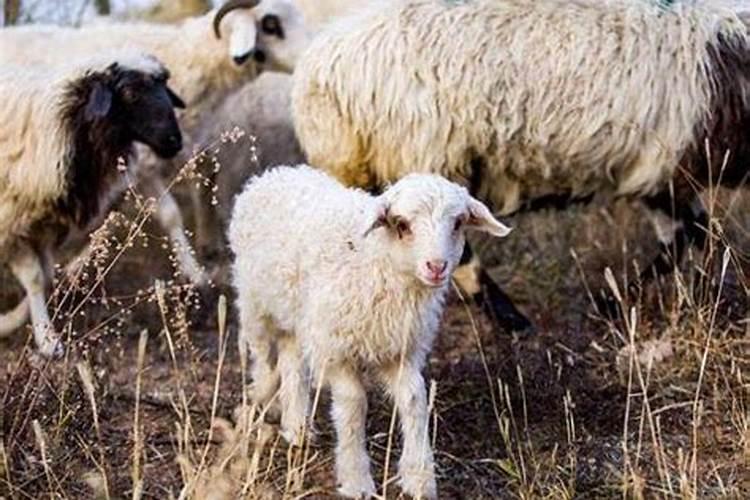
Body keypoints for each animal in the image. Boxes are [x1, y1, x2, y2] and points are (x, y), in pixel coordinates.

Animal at [0, 0, 312, 288]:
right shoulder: (141, 166)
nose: (310, 49)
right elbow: (171, 215)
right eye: (271, 25)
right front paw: (195, 273)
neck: (185, 57)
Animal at [228, 165, 512, 500]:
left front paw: (419, 477)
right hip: (255, 304)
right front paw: (356, 480)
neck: (377, 260)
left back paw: (297, 426)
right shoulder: (336, 349)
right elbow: (353, 404)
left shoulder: (401, 349)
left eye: (457, 223)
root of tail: (274, 173)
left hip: (298, 314)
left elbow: (415, 399)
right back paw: (262, 402)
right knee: (261, 355)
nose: (436, 266)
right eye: (402, 224)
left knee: (291, 360)